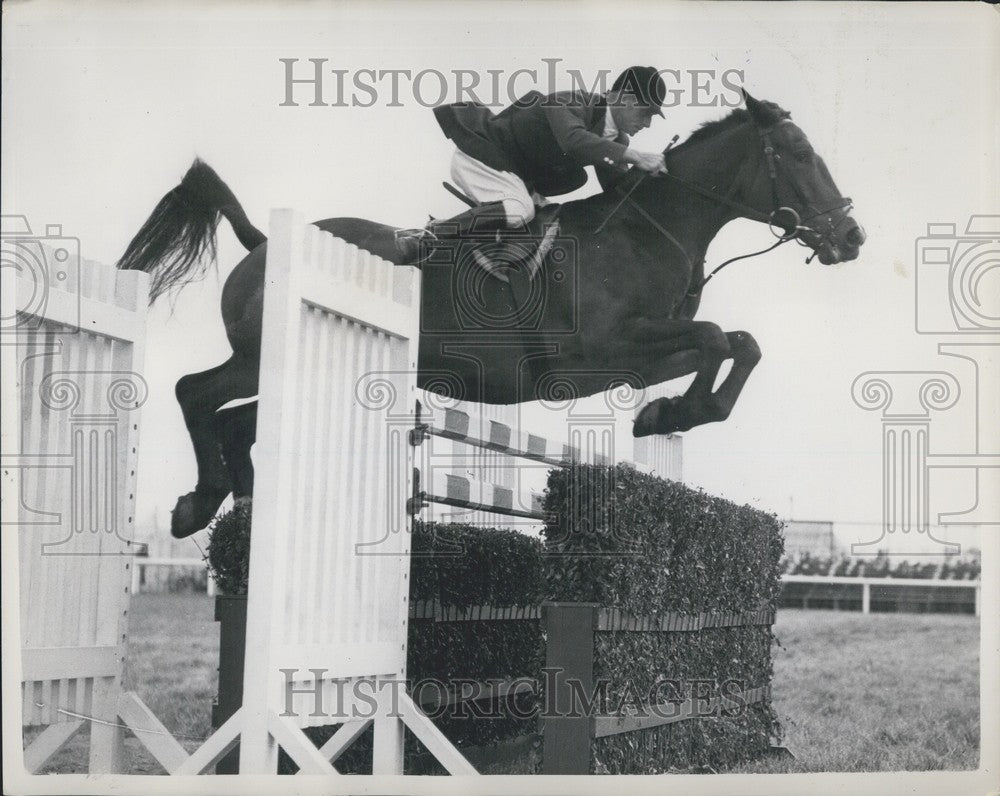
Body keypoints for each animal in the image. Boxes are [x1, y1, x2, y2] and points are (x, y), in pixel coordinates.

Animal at [117, 95, 864, 540]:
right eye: (801, 155)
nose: (852, 238)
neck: (648, 232)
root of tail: (263, 244)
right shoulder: (603, 346)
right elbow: (715, 338)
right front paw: (673, 412)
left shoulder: (637, 358)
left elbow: (737, 344)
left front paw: (668, 413)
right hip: (263, 356)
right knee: (196, 393)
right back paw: (198, 502)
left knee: (234, 421)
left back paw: (228, 505)